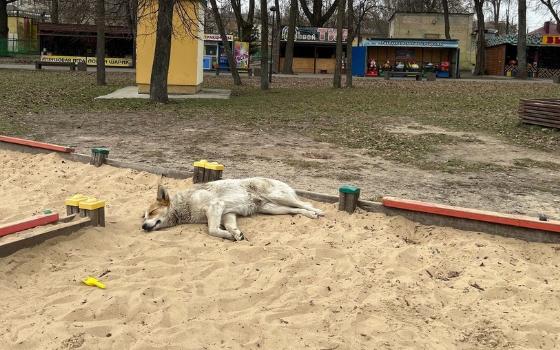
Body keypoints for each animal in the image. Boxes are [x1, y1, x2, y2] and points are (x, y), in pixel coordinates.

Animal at [140, 178, 324, 241]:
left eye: (153, 212)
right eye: (144, 216)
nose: (143, 226)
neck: (184, 205)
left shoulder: (216, 206)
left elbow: (212, 230)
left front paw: (229, 235)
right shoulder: (228, 213)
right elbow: (229, 226)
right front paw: (235, 233)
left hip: (278, 197)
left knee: (303, 203)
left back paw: (318, 211)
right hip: (272, 208)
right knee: (295, 210)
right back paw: (310, 214)